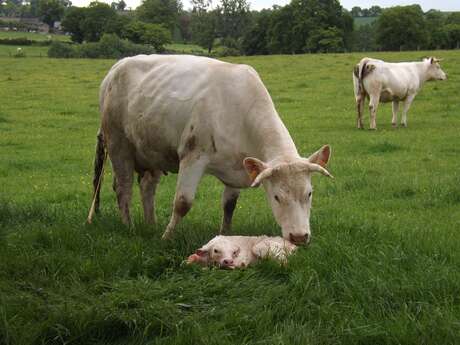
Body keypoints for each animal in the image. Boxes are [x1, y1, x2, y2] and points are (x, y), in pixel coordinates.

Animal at [90, 53, 334, 243]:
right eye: (276, 197)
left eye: (309, 193)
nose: (299, 237)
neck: (237, 111)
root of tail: (115, 69)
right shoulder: (193, 156)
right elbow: (182, 203)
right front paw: (166, 238)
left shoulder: (238, 167)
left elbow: (229, 206)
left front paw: (224, 235)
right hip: (118, 144)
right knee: (123, 188)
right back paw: (129, 227)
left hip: (151, 149)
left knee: (147, 187)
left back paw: (151, 225)